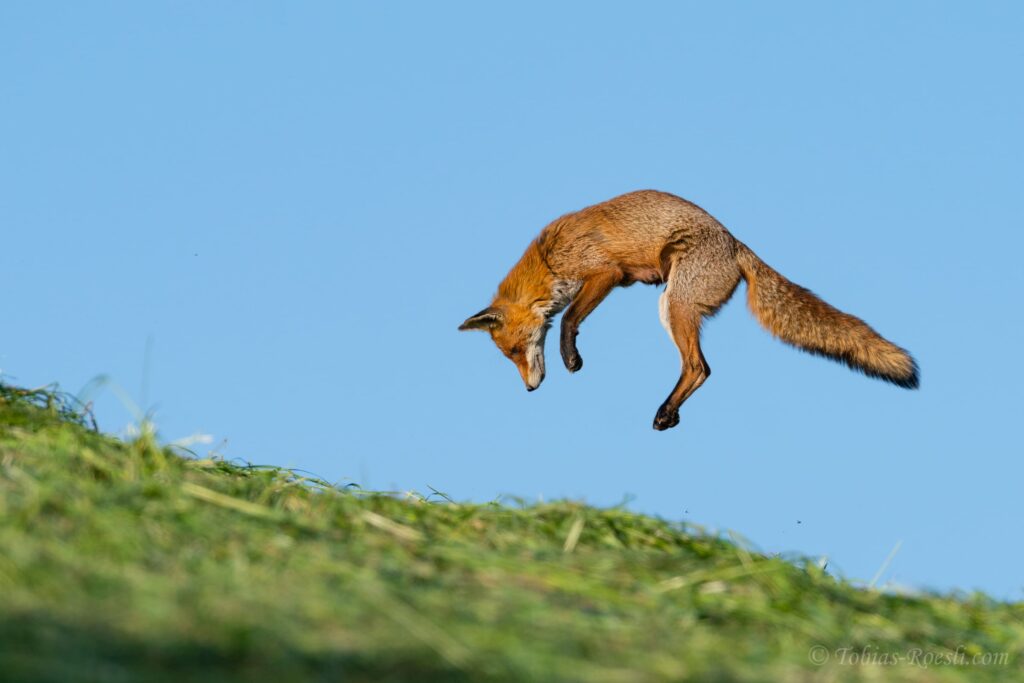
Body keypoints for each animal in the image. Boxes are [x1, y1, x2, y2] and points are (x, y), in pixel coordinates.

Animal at [460, 189, 917, 430]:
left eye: (514, 352)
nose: (529, 389)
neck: (549, 259)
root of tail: (737, 244)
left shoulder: (606, 272)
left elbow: (569, 319)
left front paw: (571, 357)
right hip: (673, 305)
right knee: (698, 367)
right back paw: (671, 413)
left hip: (673, 302)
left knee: (700, 367)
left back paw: (666, 411)